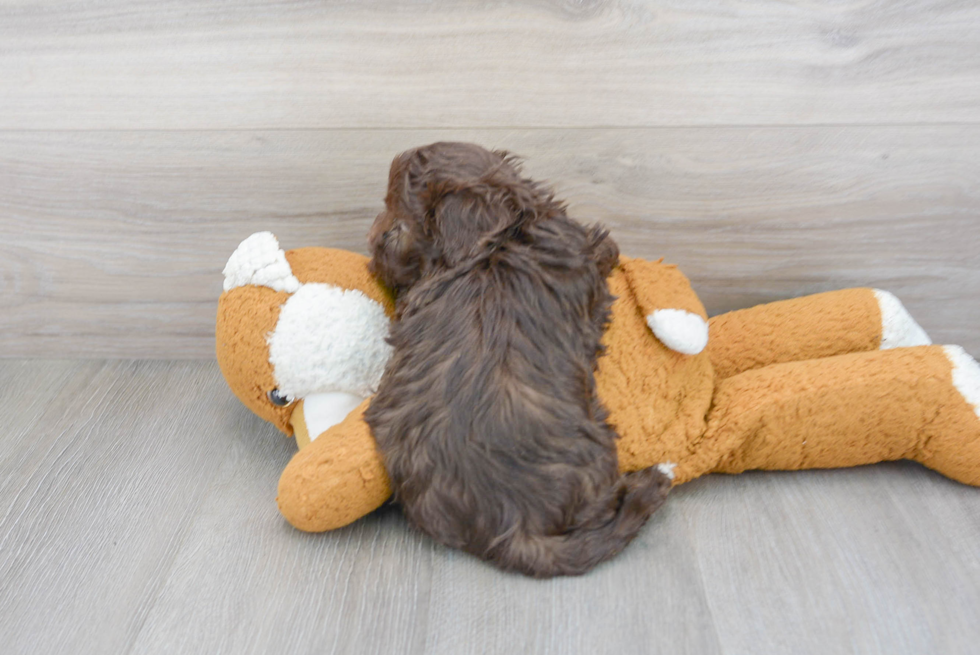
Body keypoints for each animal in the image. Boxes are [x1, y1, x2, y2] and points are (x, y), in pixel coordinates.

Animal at [364, 141, 668, 576]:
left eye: (395, 229)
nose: (370, 248)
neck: (505, 237)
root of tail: (515, 529)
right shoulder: (587, 252)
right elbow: (606, 247)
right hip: (598, 456)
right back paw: (649, 486)